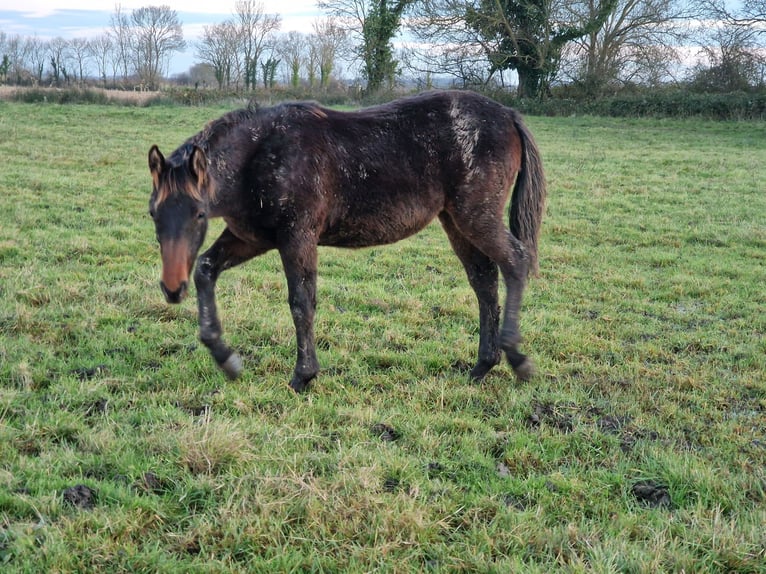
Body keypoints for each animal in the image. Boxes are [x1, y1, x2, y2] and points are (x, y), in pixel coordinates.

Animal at [148, 91, 544, 396]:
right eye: (153, 213)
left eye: (199, 214)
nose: (171, 288)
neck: (260, 154)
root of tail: (508, 115)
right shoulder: (252, 238)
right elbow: (205, 269)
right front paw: (225, 358)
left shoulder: (298, 237)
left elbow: (301, 302)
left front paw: (303, 376)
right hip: (456, 221)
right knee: (484, 281)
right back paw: (482, 366)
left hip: (476, 217)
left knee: (515, 262)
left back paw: (517, 358)